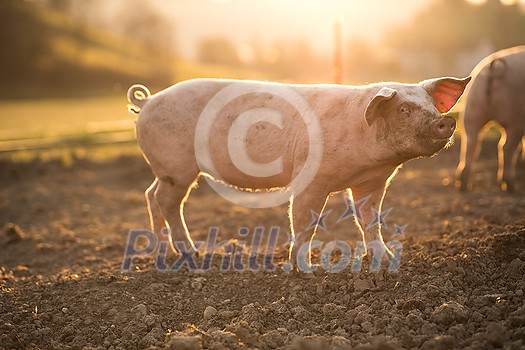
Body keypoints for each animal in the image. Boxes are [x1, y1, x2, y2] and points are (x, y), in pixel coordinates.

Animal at [128, 77, 470, 268]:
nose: (446, 120)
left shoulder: (372, 183)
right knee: (167, 201)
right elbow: (305, 222)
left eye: (432, 106)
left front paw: (384, 260)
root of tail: (147, 103)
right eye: (403, 110)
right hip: (177, 166)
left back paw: (166, 254)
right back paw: (193, 255)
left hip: (165, 169)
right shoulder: (311, 178)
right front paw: (303, 268)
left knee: (150, 195)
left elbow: (370, 221)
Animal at [454, 46, 524, 191]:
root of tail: (494, 68)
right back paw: (510, 185)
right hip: (516, 119)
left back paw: (463, 184)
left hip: (472, 109)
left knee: (470, 144)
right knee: (505, 147)